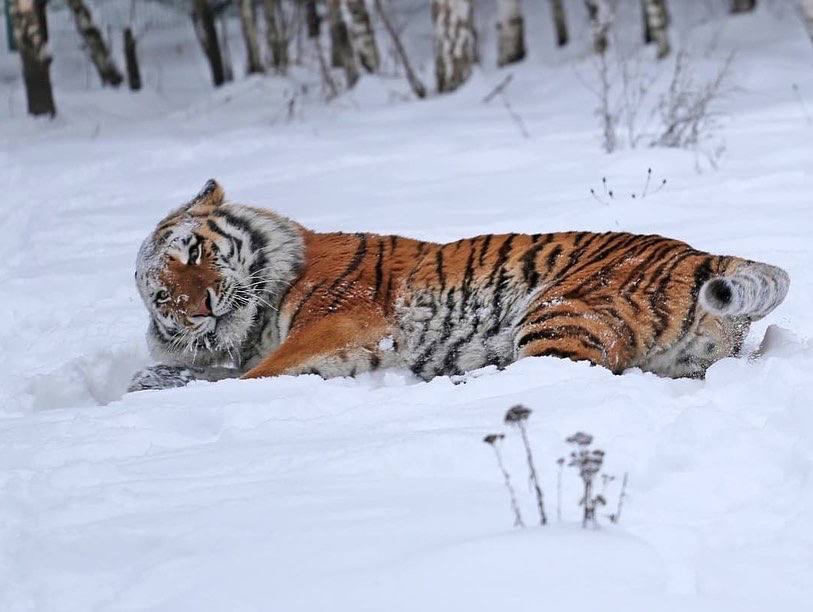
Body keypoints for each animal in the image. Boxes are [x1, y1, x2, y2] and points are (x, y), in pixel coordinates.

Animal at [127, 182, 788, 392]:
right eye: (162, 297)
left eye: (194, 252)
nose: (200, 308)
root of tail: (702, 252)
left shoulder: (340, 322)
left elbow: (247, 377)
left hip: (559, 312)